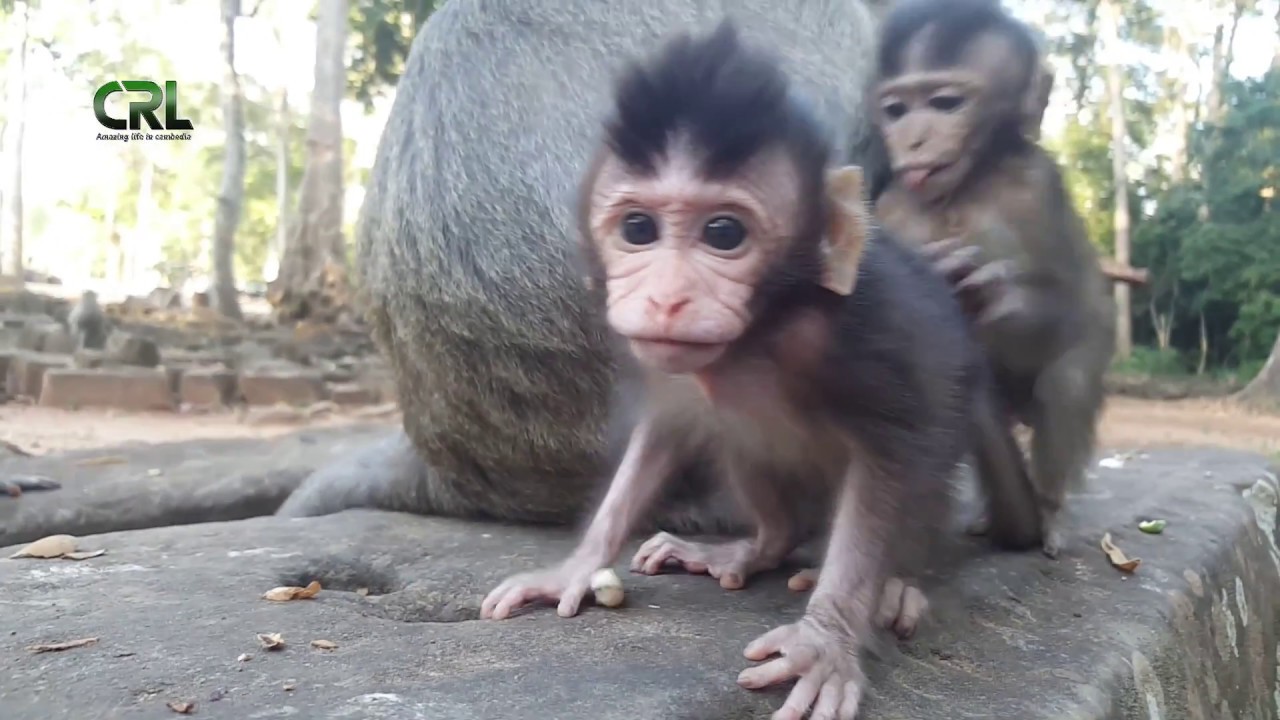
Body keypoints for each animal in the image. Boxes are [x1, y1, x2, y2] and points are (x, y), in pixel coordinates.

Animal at [480, 23, 1041, 719]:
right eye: (638, 228)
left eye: (724, 233)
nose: (667, 299)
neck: (759, 335)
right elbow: (663, 436)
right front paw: (576, 566)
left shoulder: (866, 331)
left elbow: (894, 452)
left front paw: (824, 641)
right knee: (739, 436)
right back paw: (759, 544)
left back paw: (894, 585)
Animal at [867, 0, 1117, 558]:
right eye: (896, 111)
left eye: (945, 103)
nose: (912, 140)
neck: (969, 183)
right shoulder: (893, 208)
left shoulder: (1035, 185)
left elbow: (1067, 304)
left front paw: (998, 295)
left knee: (1066, 380)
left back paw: (1049, 512)